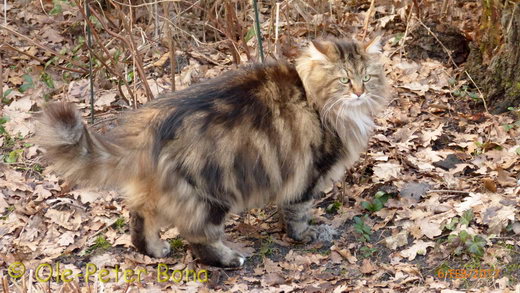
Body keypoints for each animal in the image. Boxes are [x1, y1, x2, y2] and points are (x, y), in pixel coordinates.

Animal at [34, 37, 388, 266]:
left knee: (140, 216)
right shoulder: (308, 173)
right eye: (345, 80)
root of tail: (149, 130)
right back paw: (230, 259)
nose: (360, 92)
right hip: (212, 194)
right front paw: (308, 235)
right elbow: (298, 213)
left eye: (368, 77)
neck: (315, 98)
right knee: (198, 238)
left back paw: (155, 251)